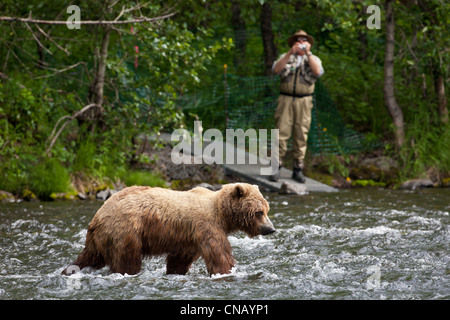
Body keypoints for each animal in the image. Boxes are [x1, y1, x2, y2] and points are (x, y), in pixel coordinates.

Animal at [61, 184, 274, 276]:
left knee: (88, 256)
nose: (270, 229)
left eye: (267, 209)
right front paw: (229, 270)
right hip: (125, 230)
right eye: (259, 212)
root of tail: (97, 216)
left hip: (99, 239)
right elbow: (219, 255)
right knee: (127, 259)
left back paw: (69, 270)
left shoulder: (187, 238)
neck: (222, 214)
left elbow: (179, 259)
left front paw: (175, 272)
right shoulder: (207, 226)